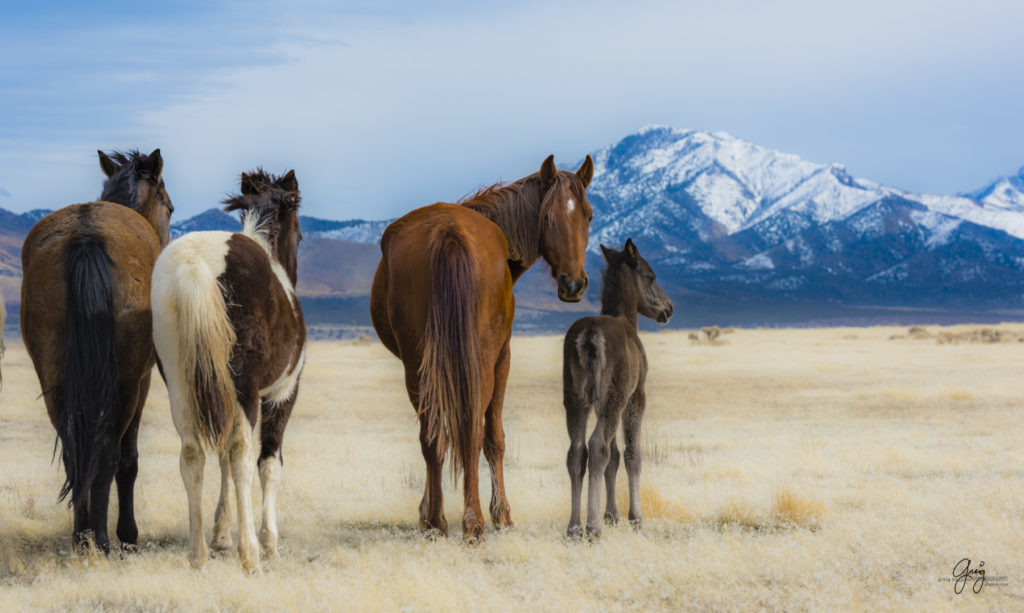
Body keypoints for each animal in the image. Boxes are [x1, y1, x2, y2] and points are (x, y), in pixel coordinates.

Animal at [19, 148, 173, 552]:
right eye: (168, 205)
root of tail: (87, 235)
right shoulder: (142, 381)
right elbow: (128, 459)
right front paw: (128, 535)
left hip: (53, 374)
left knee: (74, 447)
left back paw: (81, 535)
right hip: (125, 383)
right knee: (107, 451)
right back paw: (103, 539)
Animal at [149, 168, 305, 577]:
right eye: (300, 232)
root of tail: (194, 265)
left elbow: (216, 455)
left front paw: (220, 534)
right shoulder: (282, 393)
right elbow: (268, 464)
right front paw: (269, 543)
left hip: (182, 387)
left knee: (192, 455)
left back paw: (198, 554)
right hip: (243, 390)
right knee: (240, 456)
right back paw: (249, 555)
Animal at [370, 153, 593, 540]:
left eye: (588, 216)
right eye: (547, 218)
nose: (573, 284)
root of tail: (449, 232)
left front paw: (429, 512)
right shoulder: (503, 358)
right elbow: (494, 438)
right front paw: (502, 516)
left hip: (419, 365)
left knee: (435, 437)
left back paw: (440, 521)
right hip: (478, 360)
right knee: (469, 430)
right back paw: (472, 522)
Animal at [561, 237, 671, 540]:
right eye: (651, 276)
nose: (668, 308)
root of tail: (589, 337)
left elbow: (615, 456)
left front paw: (611, 514)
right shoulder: (635, 396)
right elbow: (631, 454)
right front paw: (635, 518)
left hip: (575, 398)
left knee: (577, 451)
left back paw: (574, 527)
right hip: (614, 397)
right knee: (597, 446)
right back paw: (592, 527)